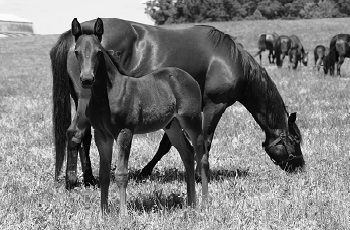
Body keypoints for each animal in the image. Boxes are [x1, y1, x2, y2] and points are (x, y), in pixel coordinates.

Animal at [50, 18, 304, 190]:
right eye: (296, 141)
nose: (300, 167)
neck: (230, 59)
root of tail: (75, 34)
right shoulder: (215, 105)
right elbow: (205, 139)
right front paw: (200, 175)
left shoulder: (180, 111)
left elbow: (167, 144)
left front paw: (146, 172)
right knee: (76, 134)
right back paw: (74, 181)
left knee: (84, 137)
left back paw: (89, 179)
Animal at [70, 18, 209, 214]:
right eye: (76, 52)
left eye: (98, 52)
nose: (87, 79)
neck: (108, 94)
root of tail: (189, 78)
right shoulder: (102, 136)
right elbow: (104, 175)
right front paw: (104, 213)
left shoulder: (125, 132)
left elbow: (121, 174)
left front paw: (123, 214)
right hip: (172, 125)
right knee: (188, 155)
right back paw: (191, 203)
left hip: (192, 121)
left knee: (201, 156)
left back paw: (204, 203)